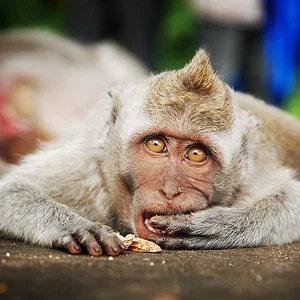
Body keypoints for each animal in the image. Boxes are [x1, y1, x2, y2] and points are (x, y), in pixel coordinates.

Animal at [0, 48, 300, 256]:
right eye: (156, 144)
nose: (170, 191)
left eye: (196, 154)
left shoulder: (247, 176)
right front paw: (73, 226)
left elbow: (292, 199)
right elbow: (11, 190)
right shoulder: (87, 172)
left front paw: (218, 226)